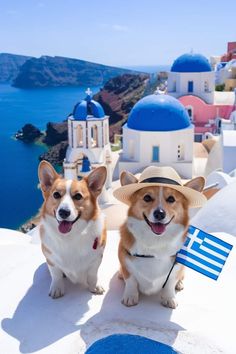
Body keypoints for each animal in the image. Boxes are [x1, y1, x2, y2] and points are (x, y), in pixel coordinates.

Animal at [38, 161, 107, 298]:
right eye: (56, 194)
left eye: (78, 196)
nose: (64, 212)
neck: (71, 236)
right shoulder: (51, 259)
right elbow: (56, 275)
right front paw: (56, 288)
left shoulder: (96, 258)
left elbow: (93, 274)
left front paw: (94, 286)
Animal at [114, 167, 205, 308]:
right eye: (147, 197)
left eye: (171, 199)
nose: (159, 214)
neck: (155, 240)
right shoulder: (126, 264)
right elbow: (131, 282)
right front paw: (130, 297)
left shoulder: (175, 269)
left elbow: (170, 284)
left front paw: (169, 298)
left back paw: (179, 284)